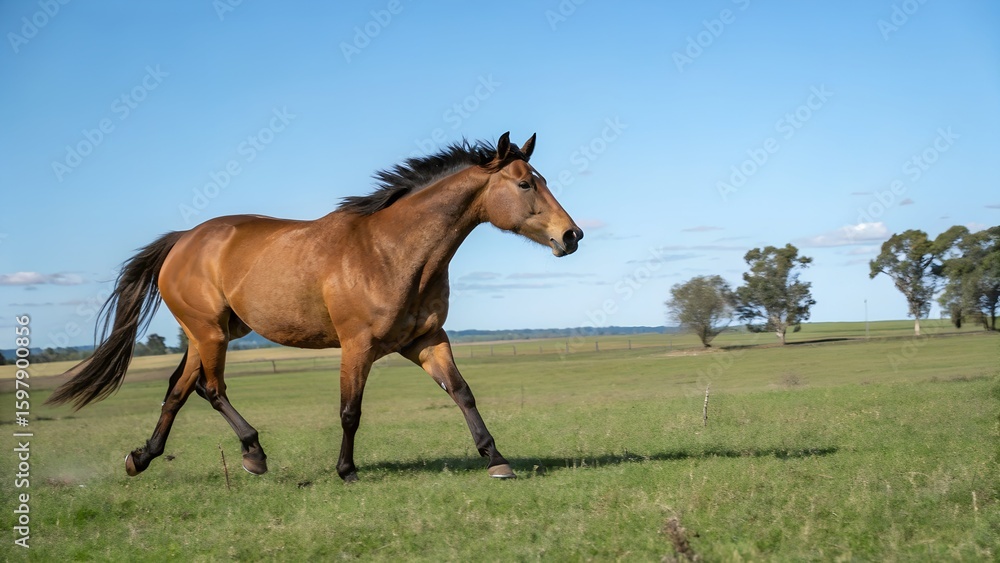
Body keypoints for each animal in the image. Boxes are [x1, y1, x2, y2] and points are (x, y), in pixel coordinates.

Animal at [46, 132, 583, 482]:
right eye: (525, 185)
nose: (572, 235)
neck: (391, 251)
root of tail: (183, 240)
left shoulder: (427, 341)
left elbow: (463, 393)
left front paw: (496, 459)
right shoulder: (357, 346)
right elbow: (350, 410)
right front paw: (346, 471)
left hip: (210, 333)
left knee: (179, 390)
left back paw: (142, 457)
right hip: (210, 333)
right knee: (210, 388)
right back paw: (253, 454)